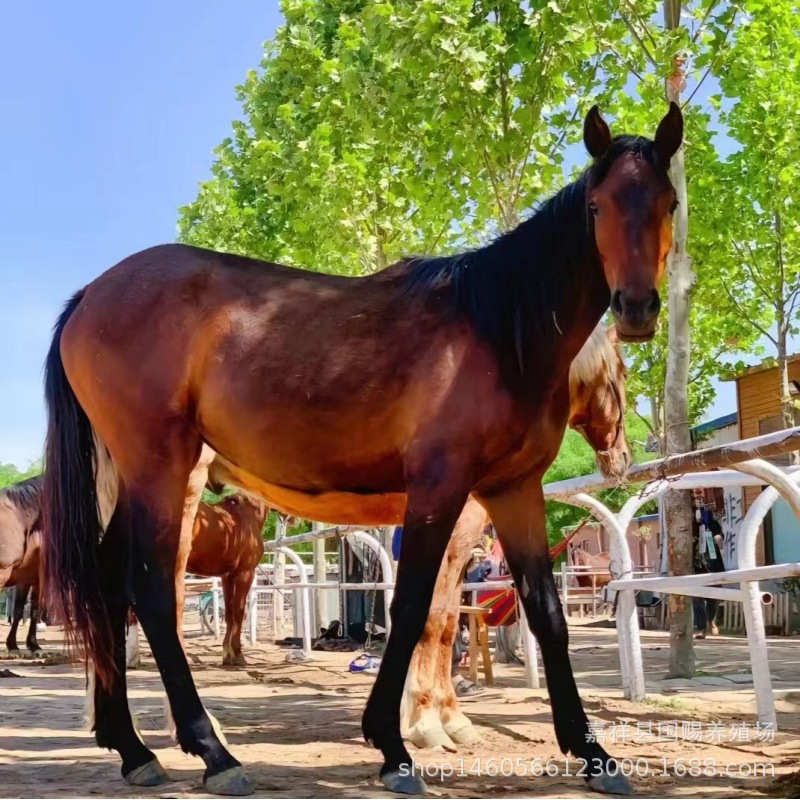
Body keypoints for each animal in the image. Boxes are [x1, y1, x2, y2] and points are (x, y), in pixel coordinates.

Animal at [406, 322, 632, 748]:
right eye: (624, 373)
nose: (624, 458)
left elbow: (446, 619)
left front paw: (446, 719)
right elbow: (435, 618)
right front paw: (425, 723)